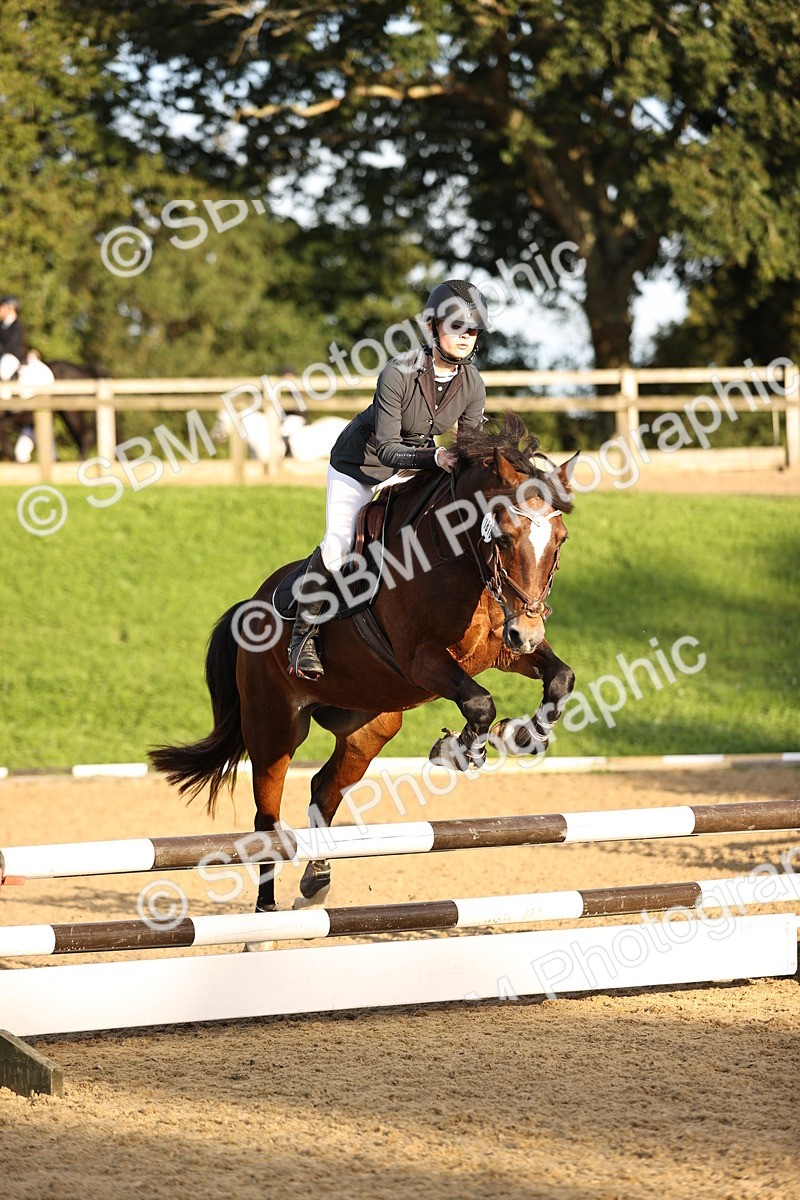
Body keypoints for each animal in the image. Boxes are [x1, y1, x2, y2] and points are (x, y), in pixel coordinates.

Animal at [150, 412, 578, 915]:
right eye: (506, 536)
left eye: (560, 540)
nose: (529, 630)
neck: (459, 560)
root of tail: (249, 607)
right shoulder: (421, 659)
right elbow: (479, 703)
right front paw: (460, 751)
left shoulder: (504, 651)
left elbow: (560, 678)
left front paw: (523, 736)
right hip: (273, 728)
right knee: (266, 819)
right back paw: (266, 912)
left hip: (369, 726)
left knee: (323, 790)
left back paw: (316, 881)